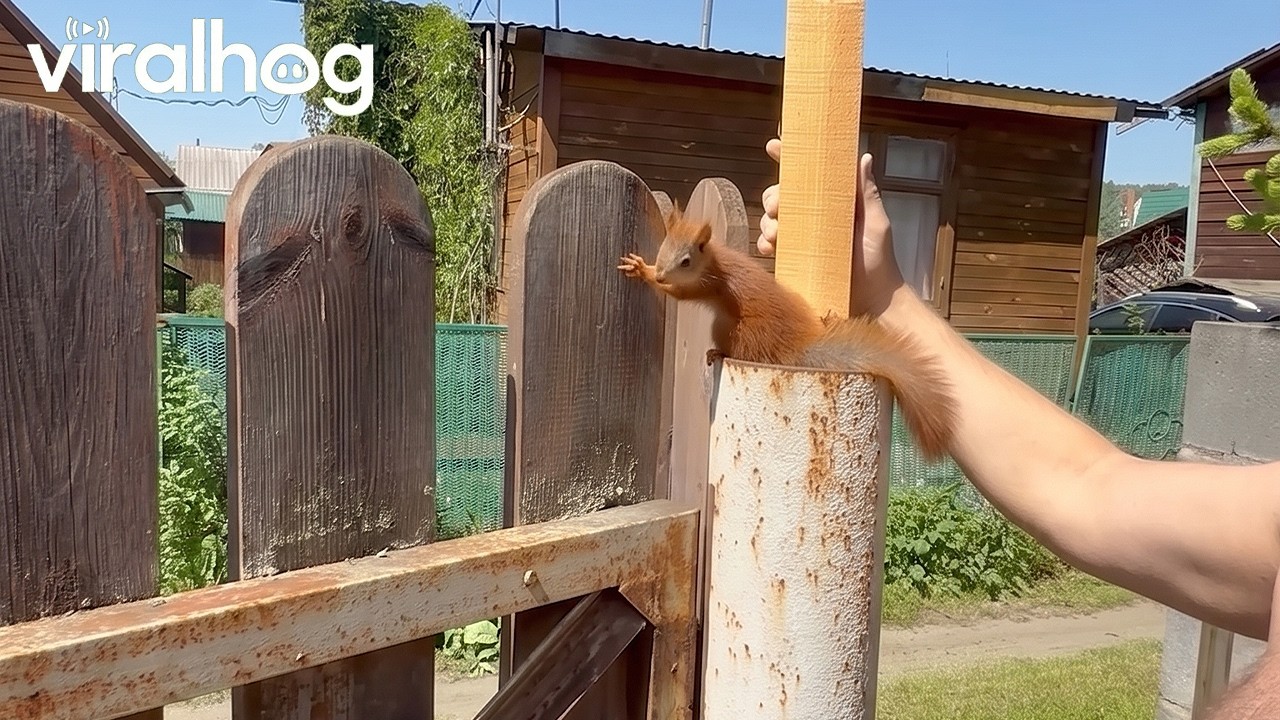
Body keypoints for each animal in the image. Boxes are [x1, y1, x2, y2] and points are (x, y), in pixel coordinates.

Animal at [617, 204, 958, 462]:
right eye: (663, 246)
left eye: (686, 260)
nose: (662, 274)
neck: (713, 261)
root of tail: (792, 347)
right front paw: (642, 267)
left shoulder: (708, 284)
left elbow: (681, 295)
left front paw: (647, 274)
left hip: (735, 330)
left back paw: (719, 352)